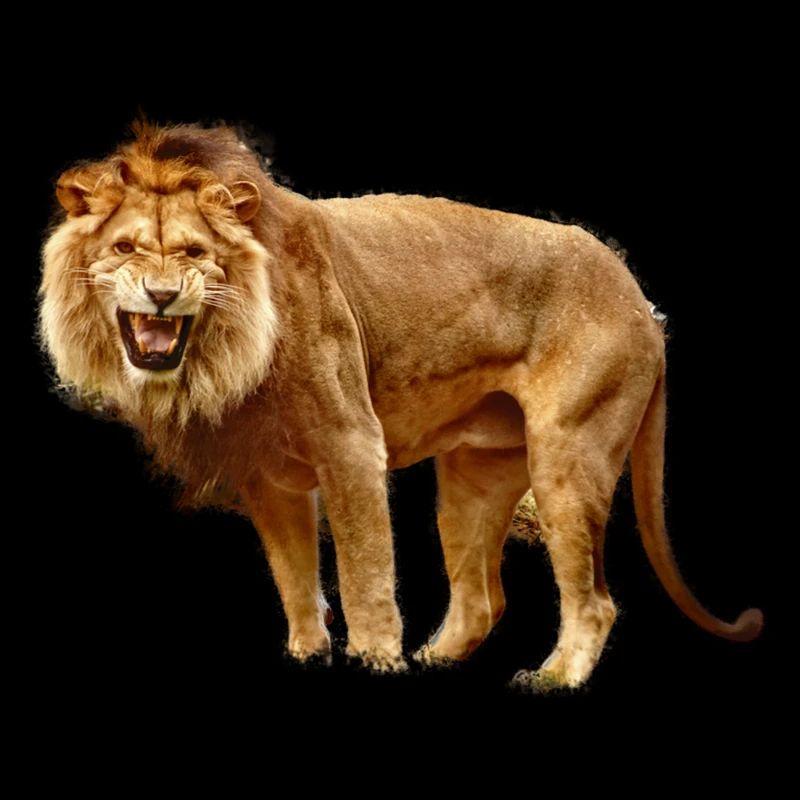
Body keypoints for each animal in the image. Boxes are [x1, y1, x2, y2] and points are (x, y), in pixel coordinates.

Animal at [39, 123, 762, 688]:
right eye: (125, 248)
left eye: (195, 253)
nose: (162, 295)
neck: (225, 351)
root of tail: (643, 304)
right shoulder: (268, 475)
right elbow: (294, 576)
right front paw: (309, 656)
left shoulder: (351, 443)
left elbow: (364, 573)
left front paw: (375, 660)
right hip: (474, 477)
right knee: (481, 599)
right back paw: (436, 661)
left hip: (569, 453)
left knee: (593, 602)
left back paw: (552, 677)